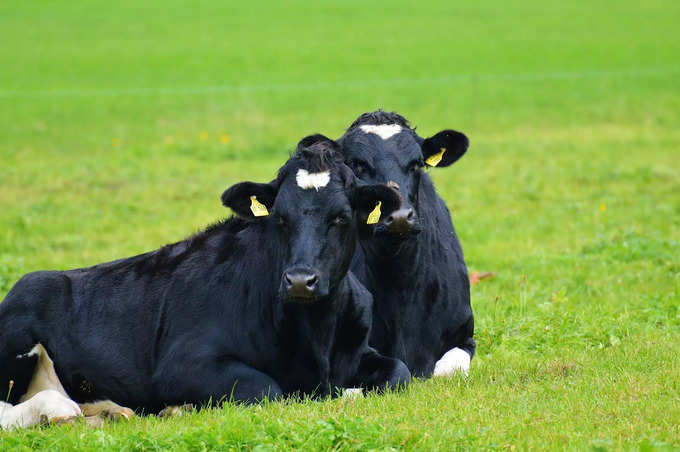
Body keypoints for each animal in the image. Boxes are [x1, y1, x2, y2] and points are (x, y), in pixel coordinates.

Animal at [0, 136, 410, 430]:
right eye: (279, 216)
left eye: (341, 217)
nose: (299, 281)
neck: (316, 339)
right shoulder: (183, 364)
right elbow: (268, 389)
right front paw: (178, 408)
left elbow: (400, 373)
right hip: (23, 314)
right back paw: (56, 409)